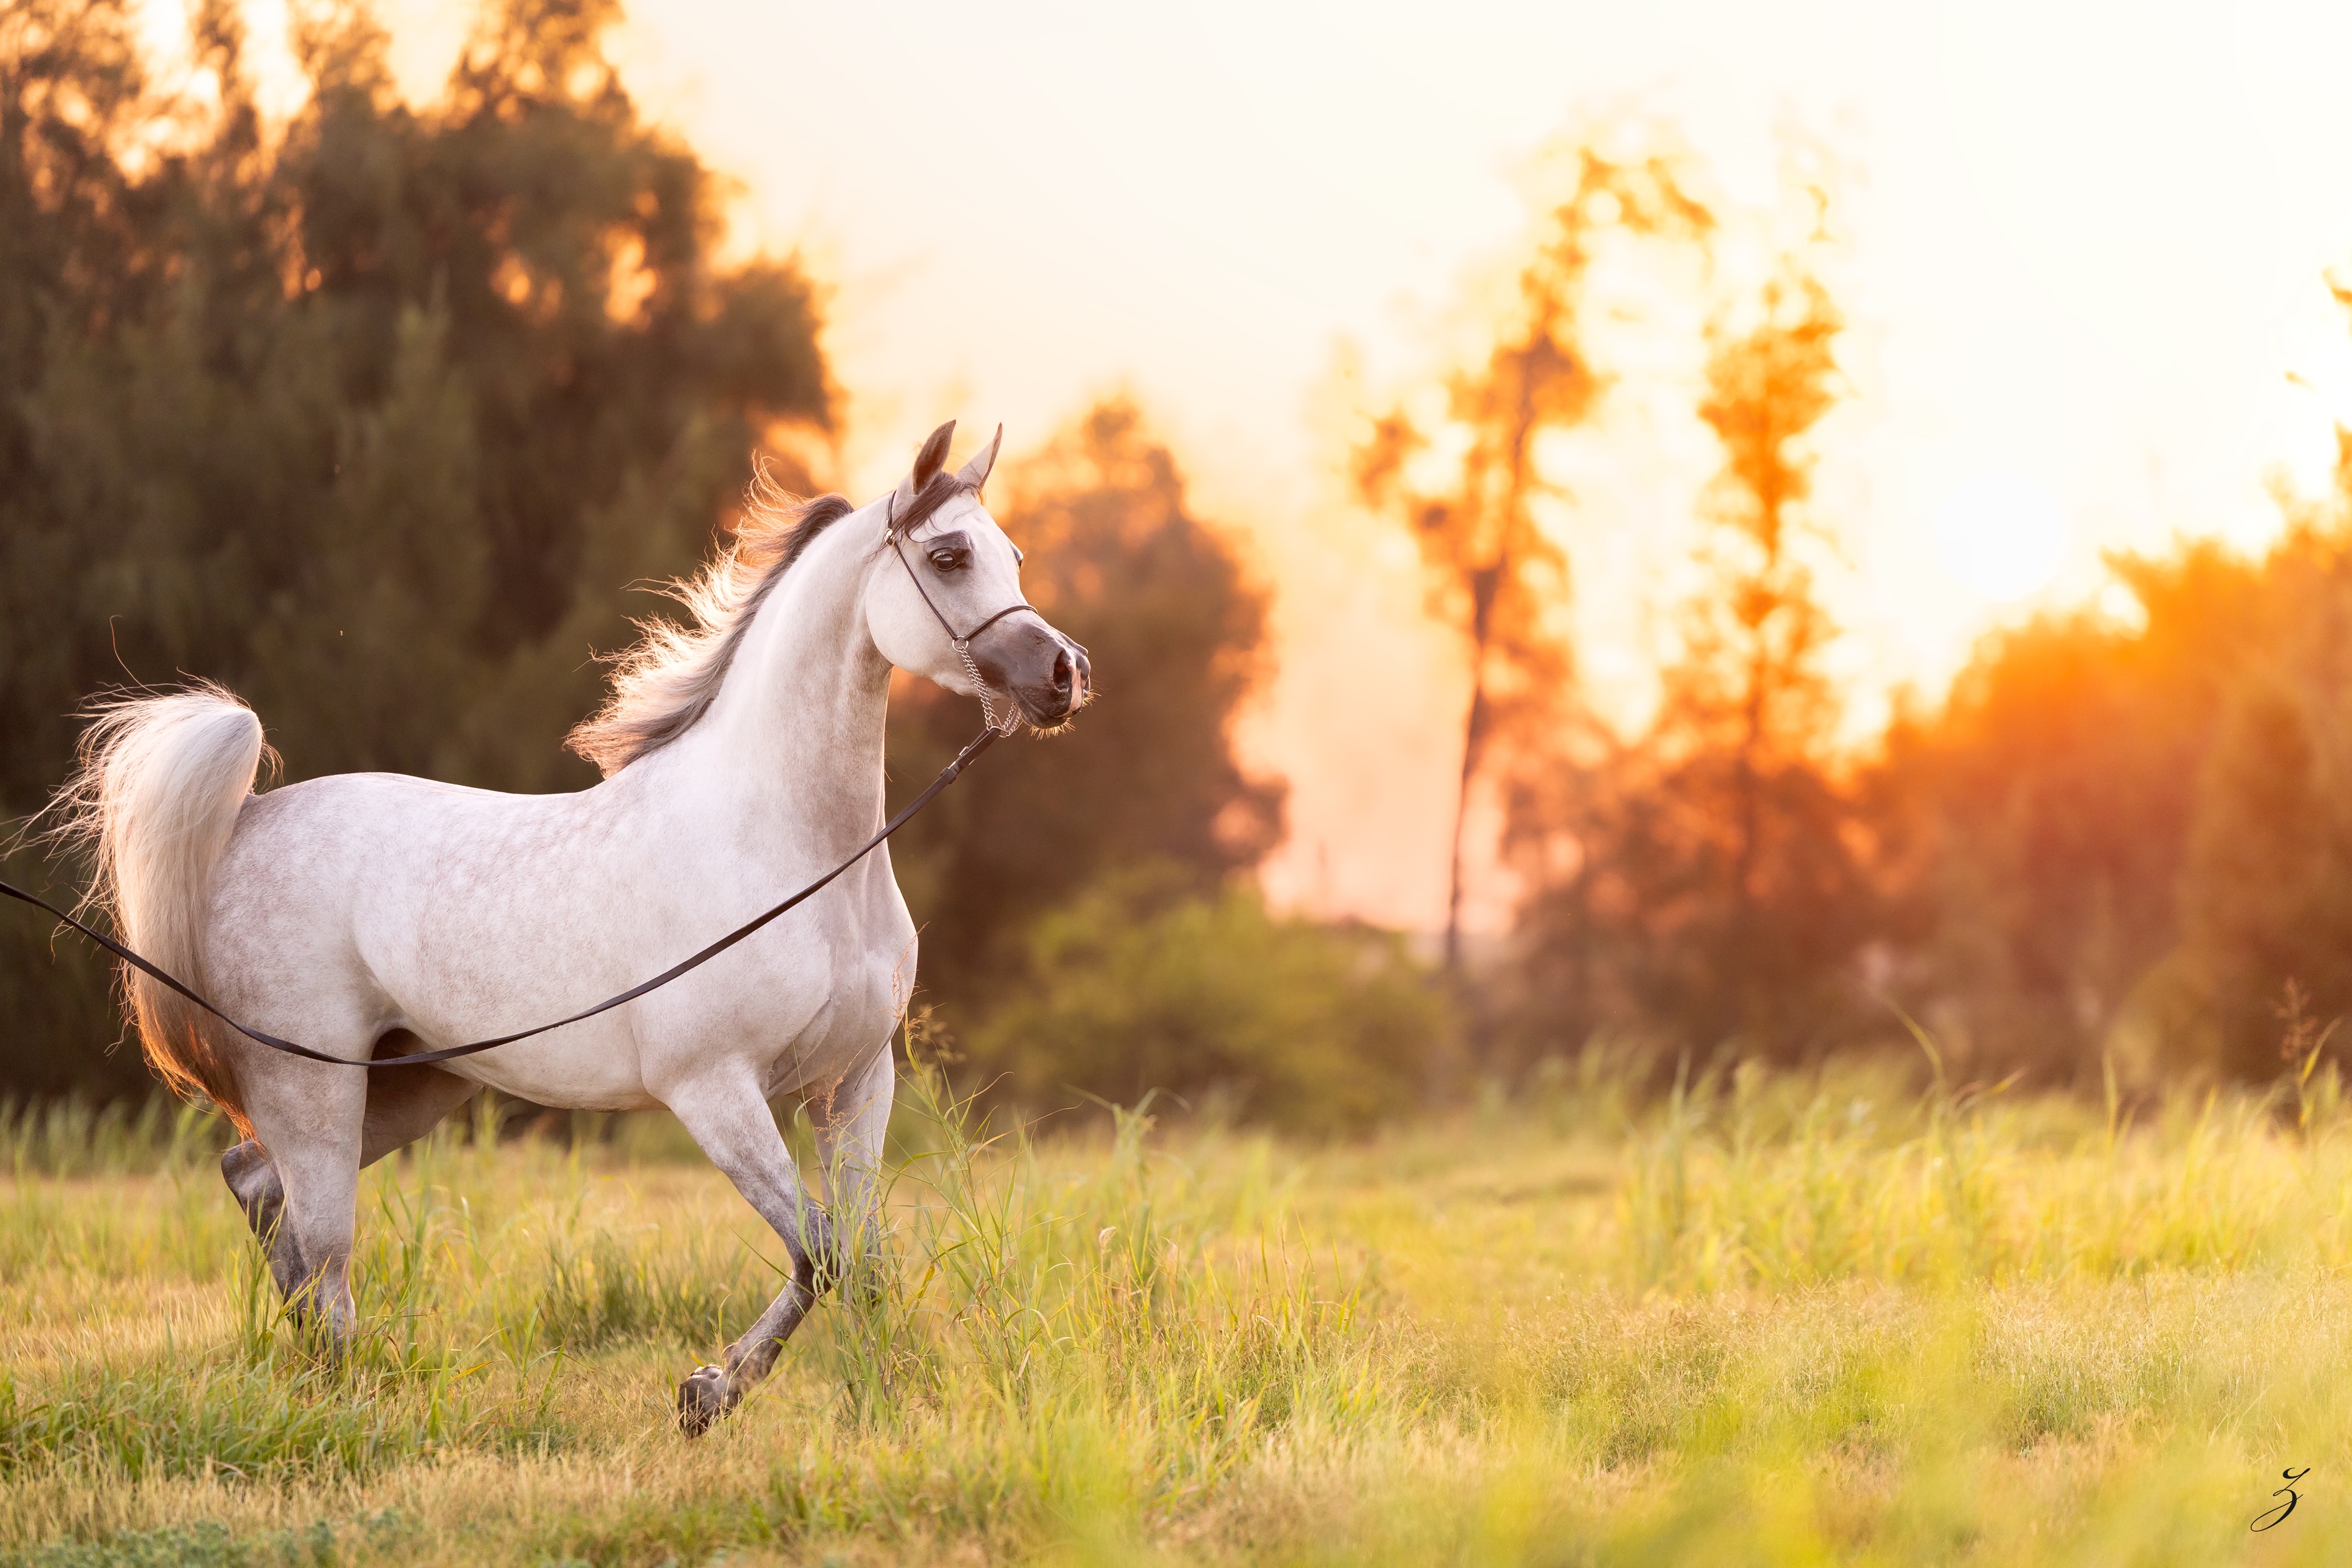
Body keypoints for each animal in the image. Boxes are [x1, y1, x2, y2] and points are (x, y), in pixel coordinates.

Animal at [40, 420, 1089, 1433]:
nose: (1066, 675)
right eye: (950, 555)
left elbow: (861, 1265)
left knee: (257, 1186)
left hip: (410, 1084)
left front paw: (878, 1403)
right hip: (314, 1089)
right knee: (323, 1251)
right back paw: (339, 1410)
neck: (795, 851)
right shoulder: (715, 1091)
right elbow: (819, 1254)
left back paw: (319, 1386)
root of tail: (247, 820)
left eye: (1014, 553)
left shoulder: (855, 1082)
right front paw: (707, 1393)